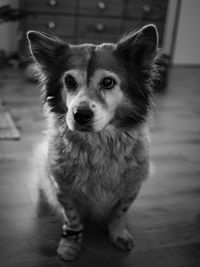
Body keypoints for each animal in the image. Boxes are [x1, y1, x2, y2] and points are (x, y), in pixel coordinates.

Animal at [27, 25, 158, 262]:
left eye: (108, 82)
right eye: (70, 81)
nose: (80, 115)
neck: (97, 144)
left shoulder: (132, 187)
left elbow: (120, 213)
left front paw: (118, 233)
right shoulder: (62, 187)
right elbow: (72, 218)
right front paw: (70, 244)